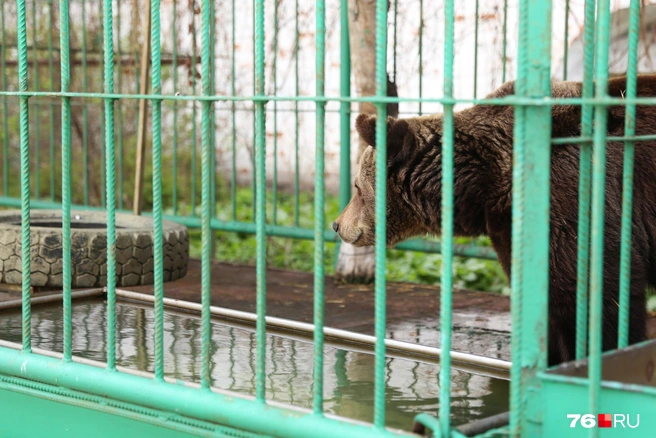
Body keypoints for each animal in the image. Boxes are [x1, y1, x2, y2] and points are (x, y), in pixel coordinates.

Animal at [334, 74, 656, 366]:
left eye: (357, 187)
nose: (337, 224)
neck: (486, 185)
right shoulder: (509, 230)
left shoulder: (572, 203)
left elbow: (593, 299)